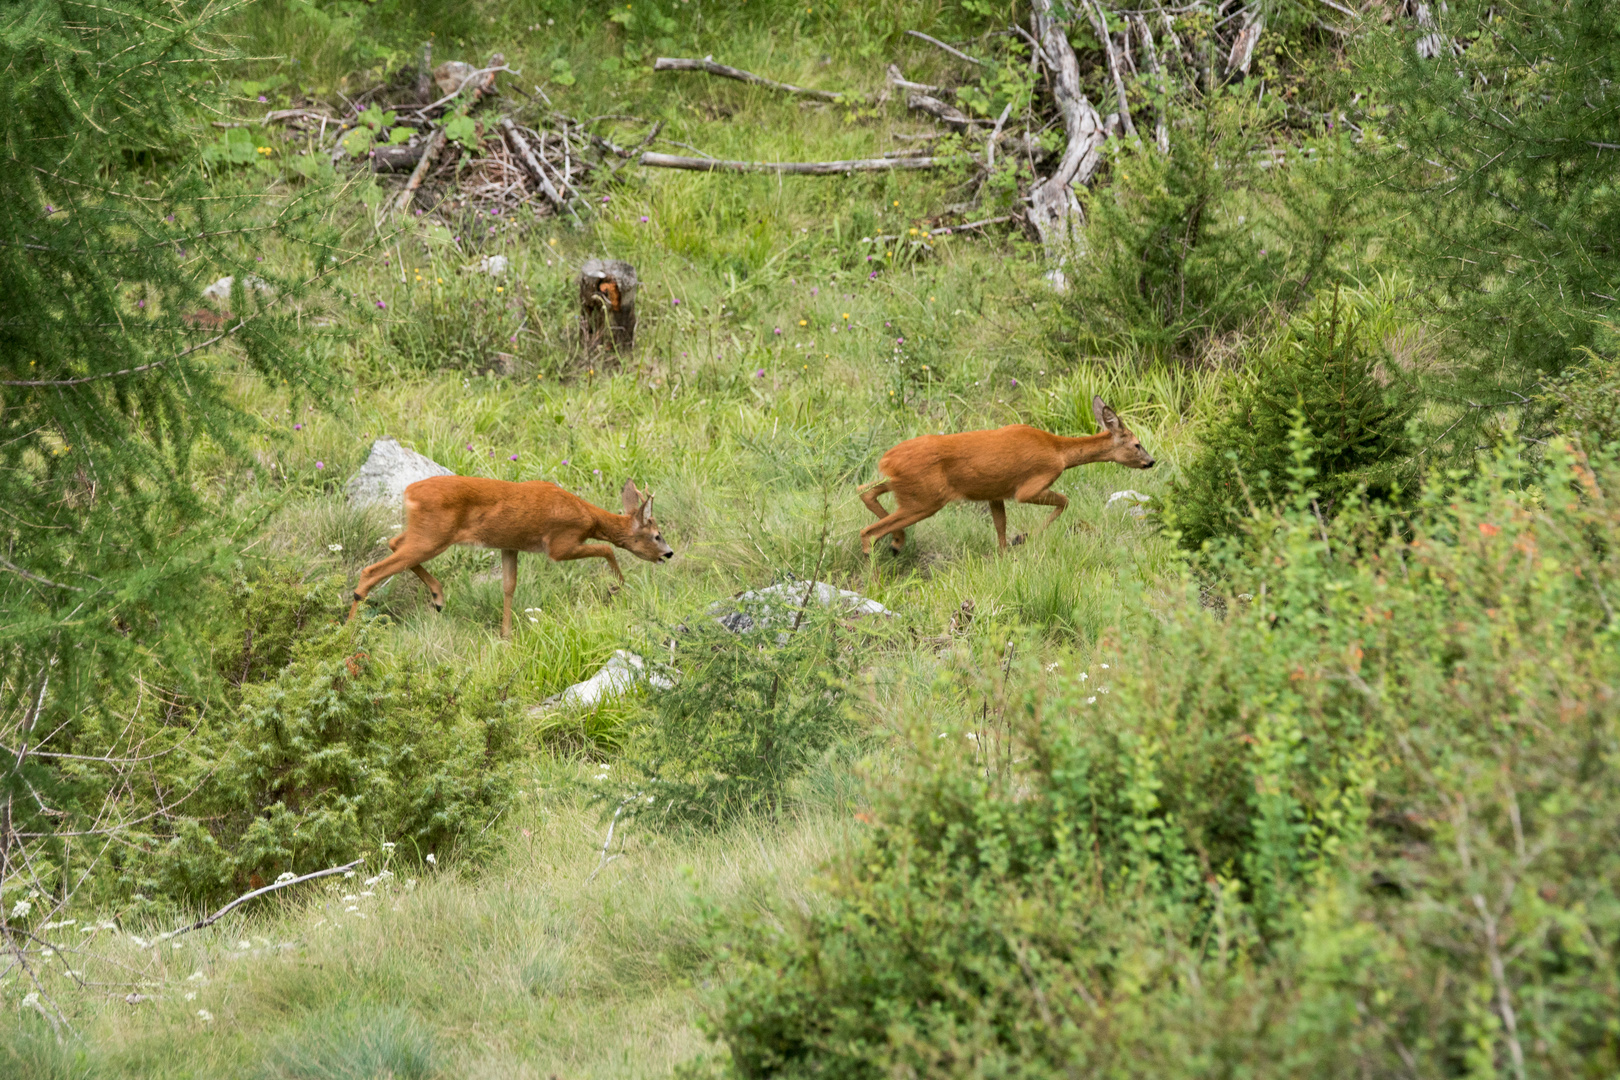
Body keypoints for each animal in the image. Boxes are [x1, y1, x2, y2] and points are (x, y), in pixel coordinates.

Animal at [351, 476, 673, 637]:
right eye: (657, 535)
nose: (668, 553)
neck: (589, 518)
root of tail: (408, 492)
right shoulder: (560, 545)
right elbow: (607, 548)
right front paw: (620, 587)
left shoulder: (510, 545)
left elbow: (508, 586)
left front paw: (505, 635)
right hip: (433, 535)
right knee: (371, 571)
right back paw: (349, 633)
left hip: (425, 533)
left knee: (393, 542)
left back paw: (438, 596)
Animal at [861, 395, 1153, 557]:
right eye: (1137, 444)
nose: (1151, 461)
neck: (1059, 451)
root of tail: (888, 460)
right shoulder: (1029, 486)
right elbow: (1065, 501)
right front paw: (1023, 538)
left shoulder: (995, 493)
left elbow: (1000, 528)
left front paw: (1005, 552)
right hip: (925, 498)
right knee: (868, 532)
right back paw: (885, 554)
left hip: (903, 488)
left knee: (865, 490)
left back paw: (897, 541)